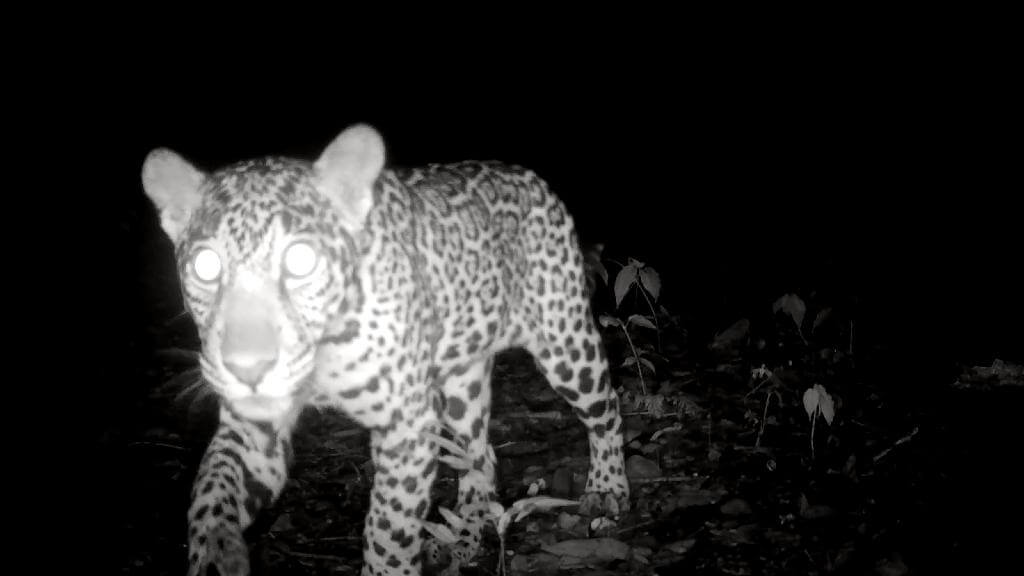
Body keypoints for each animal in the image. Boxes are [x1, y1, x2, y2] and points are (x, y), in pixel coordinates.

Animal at [141, 124, 630, 575]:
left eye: (301, 260)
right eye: (206, 265)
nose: (248, 369)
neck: (324, 354)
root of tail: (528, 175)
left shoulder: (406, 426)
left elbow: (387, 529)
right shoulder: (251, 432)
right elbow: (211, 493)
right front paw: (216, 555)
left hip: (564, 342)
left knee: (605, 408)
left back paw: (607, 491)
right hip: (461, 382)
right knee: (481, 456)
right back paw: (465, 536)